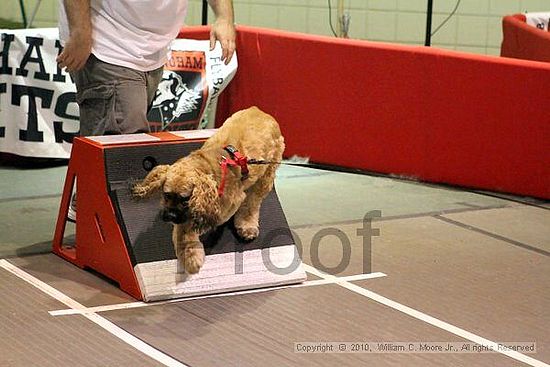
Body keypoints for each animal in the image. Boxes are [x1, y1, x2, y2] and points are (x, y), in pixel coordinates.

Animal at [133, 106, 284, 274]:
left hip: (265, 176)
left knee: (252, 203)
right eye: (166, 195)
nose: (170, 216)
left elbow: (188, 226)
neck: (208, 165)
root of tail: (261, 111)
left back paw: (247, 225)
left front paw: (191, 256)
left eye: (185, 199)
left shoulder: (224, 207)